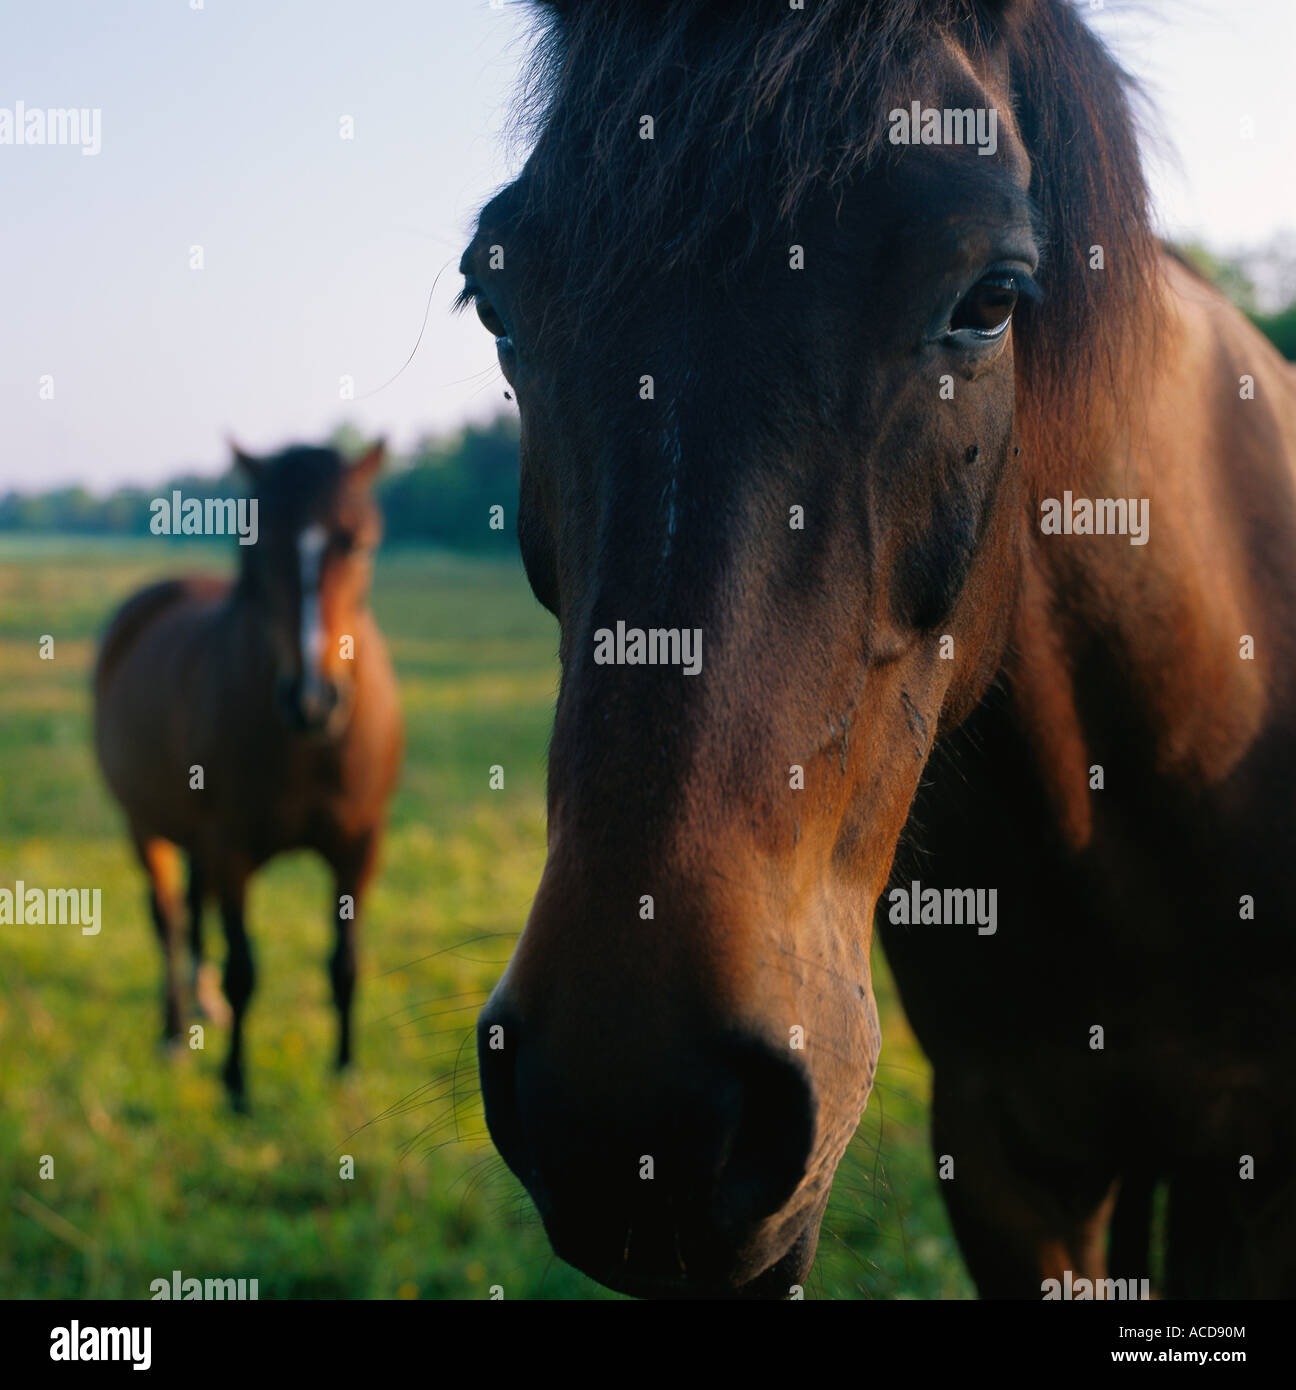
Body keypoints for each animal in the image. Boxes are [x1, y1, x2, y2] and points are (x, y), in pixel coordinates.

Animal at [93, 441, 403, 1110]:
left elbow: (345, 961)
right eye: (255, 547)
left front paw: (345, 1072)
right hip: (144, 825)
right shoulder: (231, 847)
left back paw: (201, 1003)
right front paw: (236, 1087)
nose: (313, 699)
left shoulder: (359, 846)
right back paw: (173, 1032)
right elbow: (244, 970)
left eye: (360, 545)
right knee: (168, 917)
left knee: (192, 904)